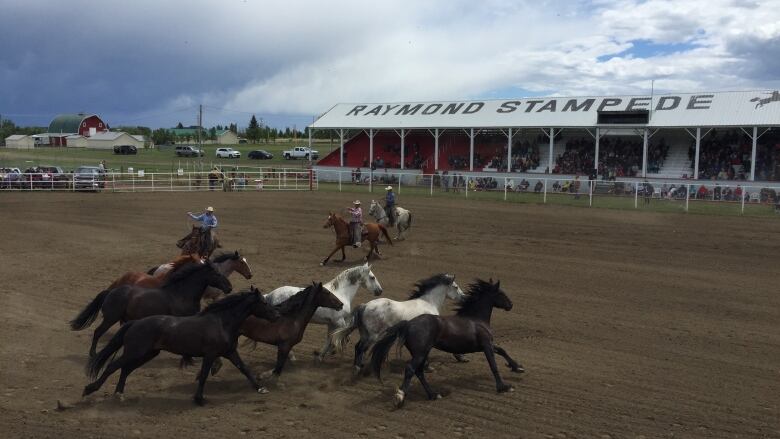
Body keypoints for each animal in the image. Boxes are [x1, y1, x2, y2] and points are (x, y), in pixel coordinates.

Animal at [70, 262, 232, 358]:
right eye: (217, 274)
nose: (229, 288)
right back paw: (93, 354)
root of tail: (110, 292)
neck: (181, 293)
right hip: (111, 318)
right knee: (98, 332)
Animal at [84, 288, 278, 406]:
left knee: (125, 369)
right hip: (135, 352)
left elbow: (244, 369)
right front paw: (199, 399)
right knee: (113, 366)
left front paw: (261, 388)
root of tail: (135, 323)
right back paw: (89, 389)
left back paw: (119, 394)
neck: (222, 322)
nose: (277, 315)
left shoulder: (230, 352)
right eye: (264, 303)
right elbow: (204, 375)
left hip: (147, 354)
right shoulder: (210, 354)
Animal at [370, 278, 524, 410]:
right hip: (420, 353)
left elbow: (502, 350)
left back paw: (434, 394)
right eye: (501, 293)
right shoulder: (486, 345)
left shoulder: (485, 345)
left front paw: (518, 367)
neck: (476, 319)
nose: (510, 305)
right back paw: (400, 398)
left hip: (422, 353)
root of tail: (408, 324)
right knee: (410, 370)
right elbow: (493, 365)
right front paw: (504, 387)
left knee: (419, 372)